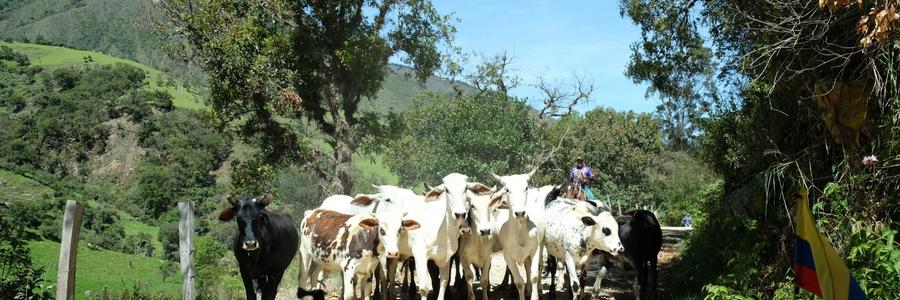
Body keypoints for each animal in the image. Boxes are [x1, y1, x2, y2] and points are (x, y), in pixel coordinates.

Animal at [492, 169, 548, 300]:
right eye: (507, 189)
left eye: (526, 188)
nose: (520, 213)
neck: (519, 232)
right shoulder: (507, 256)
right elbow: (519, 282)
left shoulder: (534, 249)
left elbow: (534, 276)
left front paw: (534, 296)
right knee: (527, 268)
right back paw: (528, 291)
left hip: (542, 243)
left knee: (539, 266)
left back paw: (539, 290)